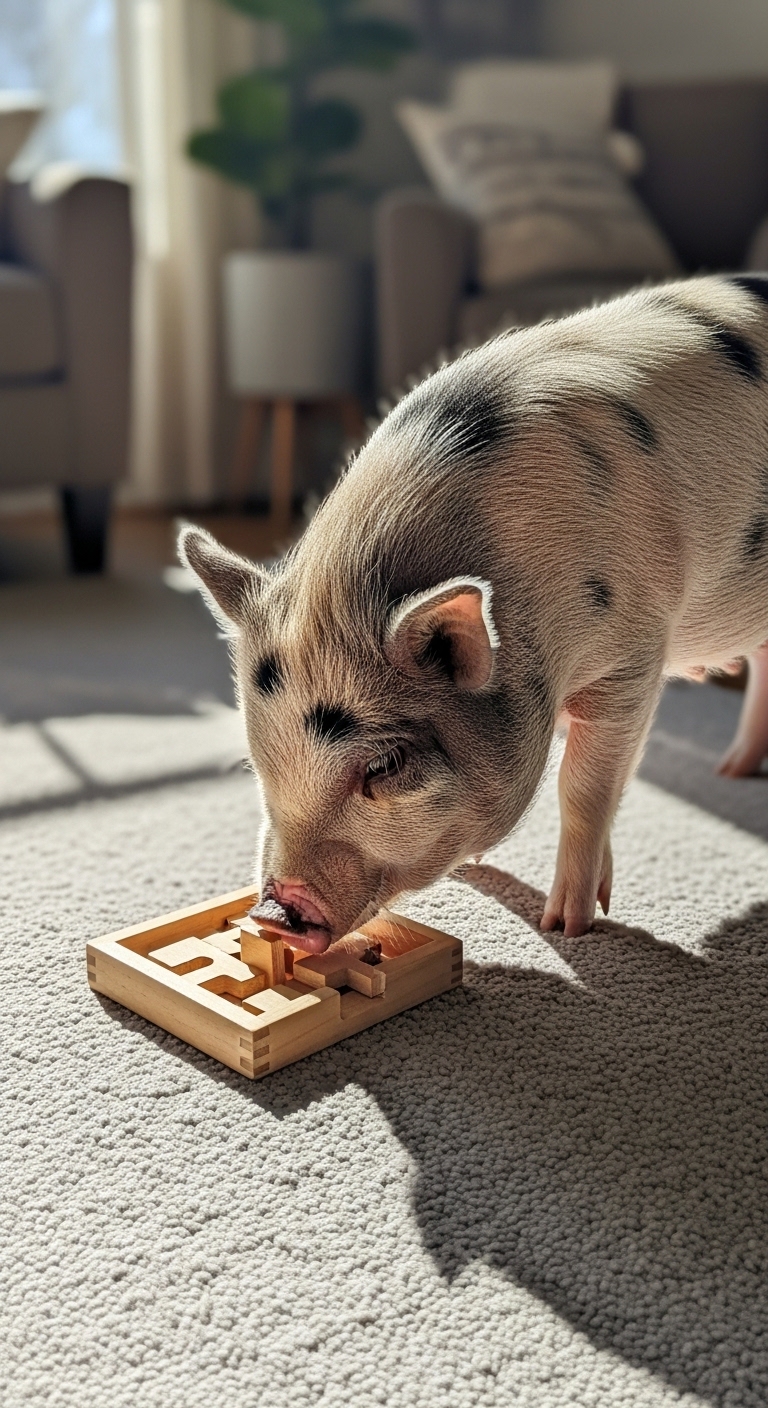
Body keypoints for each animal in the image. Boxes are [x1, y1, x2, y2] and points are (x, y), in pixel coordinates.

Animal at [180, 273, 768, 945]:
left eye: (384, 764)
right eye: (260, 759)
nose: (271, 916)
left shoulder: (632, 653)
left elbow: (584, 786)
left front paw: (567, 926)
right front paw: (481, 869)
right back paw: (731, 772)